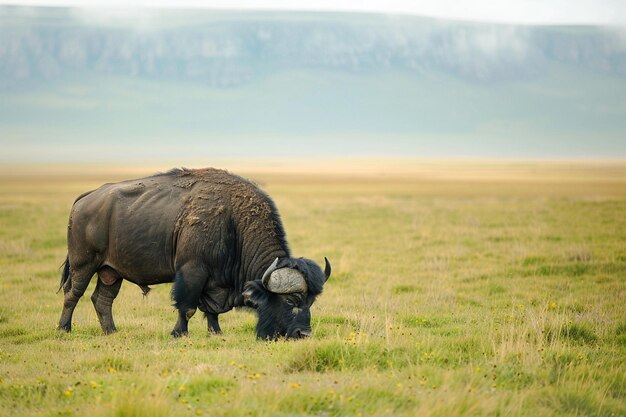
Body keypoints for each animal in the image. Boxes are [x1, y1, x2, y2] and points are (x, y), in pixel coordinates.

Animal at [57, 167, 332, 338]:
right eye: (291, 300)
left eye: (311, 302)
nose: (303, 334)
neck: (233, 221)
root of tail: (85, 199)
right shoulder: (192, 272)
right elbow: (187, 307)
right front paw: (179, 333)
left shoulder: (216, 282)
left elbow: (211, 310)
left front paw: (216, 332)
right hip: (84, 265)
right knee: (73, 294)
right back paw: (63, 329)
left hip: (111, 273)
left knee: (102, 300)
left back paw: (111, 331)